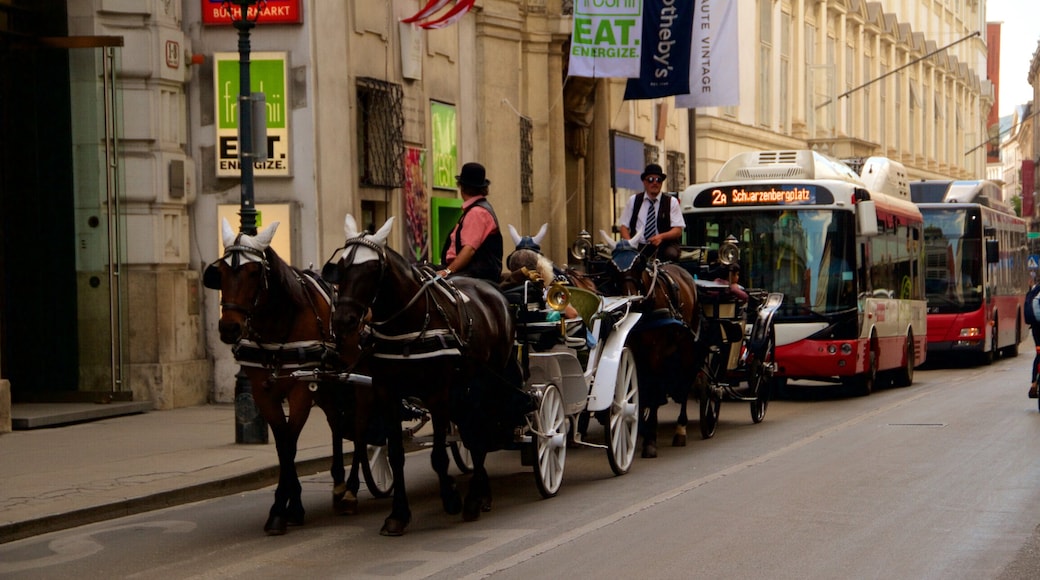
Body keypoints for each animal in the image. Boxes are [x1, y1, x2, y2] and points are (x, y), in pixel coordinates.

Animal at [200, 218, 368, 536]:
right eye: (222, 272)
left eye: (254, 272)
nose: (229, 328)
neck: (279, 325)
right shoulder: (263, 392)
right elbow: (282, 445)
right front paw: (290, 506)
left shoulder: (301, 390)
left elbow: (290, 443)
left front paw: (284, 508)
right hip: (329, 389)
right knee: (337, 426)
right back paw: (339, 486)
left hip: (357, 384)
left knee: (359, 427)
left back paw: (351, 491)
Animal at [322, 216, 532, 540]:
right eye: (342, 266)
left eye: (371, 270)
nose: (344, 321)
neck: (407, 323)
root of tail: (496, 294)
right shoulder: (387, 392)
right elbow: (396, 454)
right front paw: (397, 515)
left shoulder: (437, 392)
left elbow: (438, 456)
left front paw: (451, 497)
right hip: (465, 386)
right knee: (473, 430)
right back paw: (481, 493)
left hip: (488, 380)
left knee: (482, 429)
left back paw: (475, 497)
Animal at [594, 231, 707, 459]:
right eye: (611, 266)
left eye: (639, 263)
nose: (631, 299)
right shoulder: (633, 351)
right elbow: (640, 388)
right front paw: (640, 427)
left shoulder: (655, 352)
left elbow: (654, 388)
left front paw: (650, 440)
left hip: (687, 347)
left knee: (685, 382)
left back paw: (680, 429)